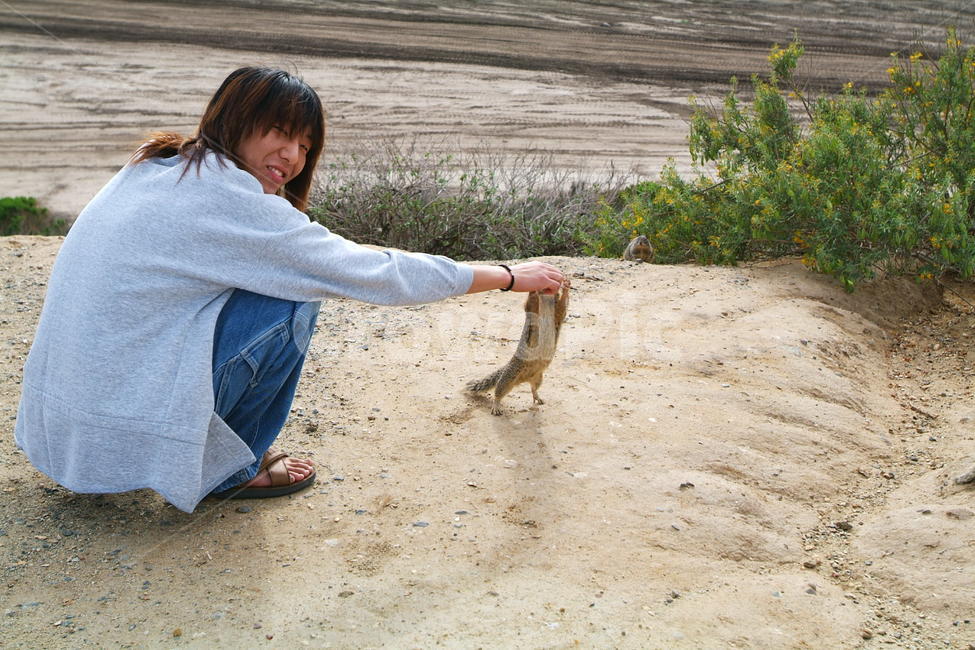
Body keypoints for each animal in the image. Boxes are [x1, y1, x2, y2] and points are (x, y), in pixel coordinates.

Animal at [466, 278, 570, 415]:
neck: (546, 304)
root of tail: (525, 378)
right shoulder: (533, 310)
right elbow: (531, 302)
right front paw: (533, 288)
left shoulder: (558, 313)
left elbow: (563, 305)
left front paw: (566, 286)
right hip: (509, 377)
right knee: (498, 392)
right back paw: (496, 406)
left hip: (538, 377)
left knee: (533, 388)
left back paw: (537, 397)